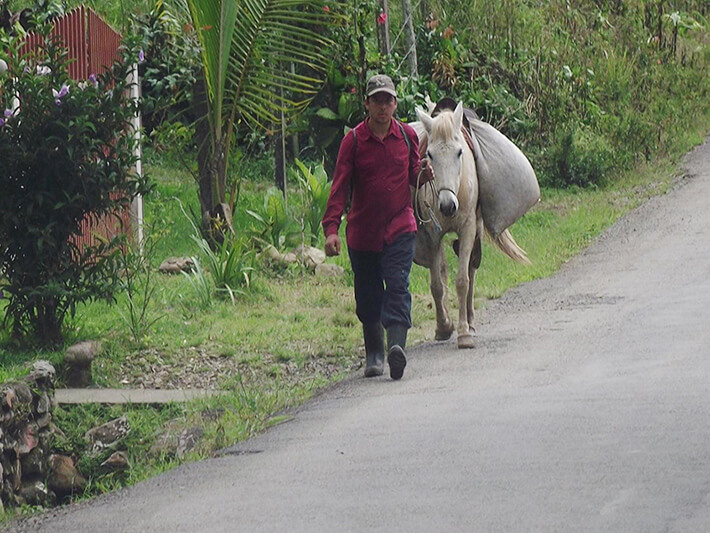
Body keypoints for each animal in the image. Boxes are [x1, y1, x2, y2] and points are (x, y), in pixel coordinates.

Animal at [408, 101, 532, 348]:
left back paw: (471, 323)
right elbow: (437, 284)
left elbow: (463, 281)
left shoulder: (467, 229)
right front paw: (443, 327)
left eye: (459, 152)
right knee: (443, 270)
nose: (447, 206)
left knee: (472, 269)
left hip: (477, 229)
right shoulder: (433, 234)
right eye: (429, 154)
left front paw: (464, 333)